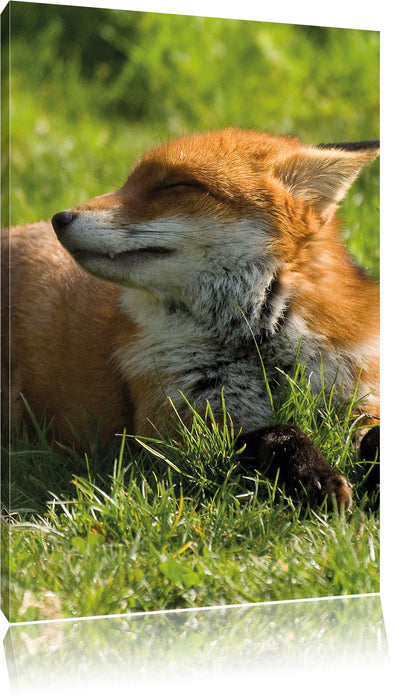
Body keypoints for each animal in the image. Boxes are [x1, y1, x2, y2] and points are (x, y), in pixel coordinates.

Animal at [1, 128, 380, 509]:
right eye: (127, 184)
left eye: (174, 186)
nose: (59, 218)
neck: (258, 351)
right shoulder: (174, 436)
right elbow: (277, 433)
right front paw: (314, 475)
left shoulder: (359, 398)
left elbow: (374, 435)